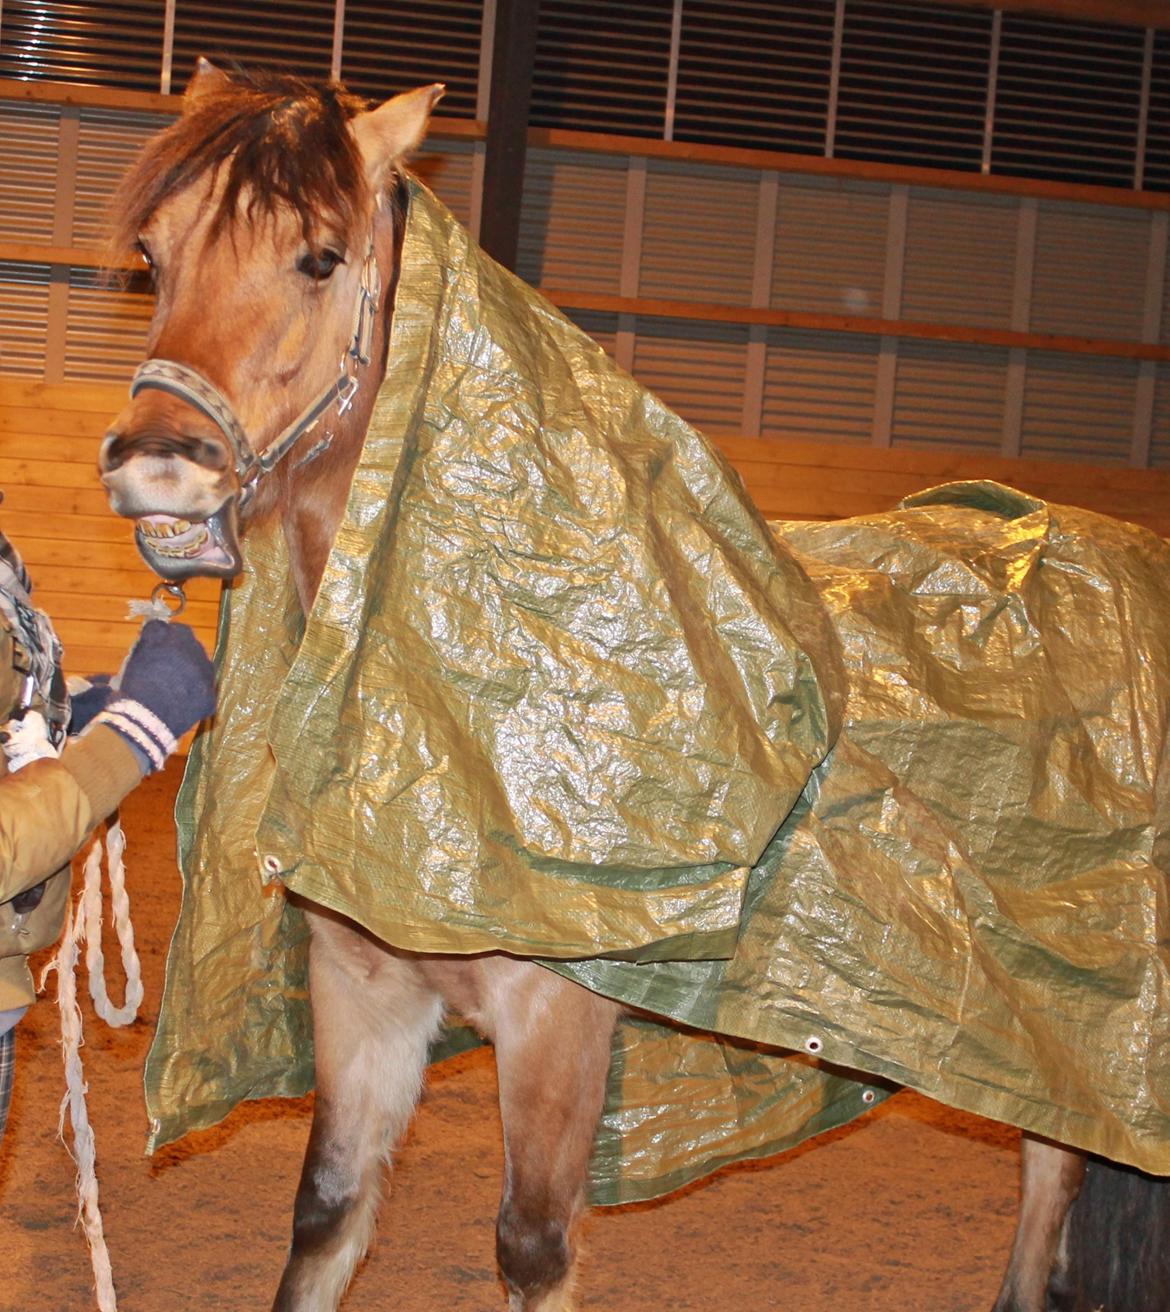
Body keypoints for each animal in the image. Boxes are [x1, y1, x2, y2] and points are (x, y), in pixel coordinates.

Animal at [95, 63, 1164, 1312]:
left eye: (317, 257)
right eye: (155, 255)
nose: (154, 464)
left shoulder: (557, 1023)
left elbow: (532, 1244)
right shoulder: (363, 995)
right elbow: (325, 1216)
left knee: (1054, 1169)